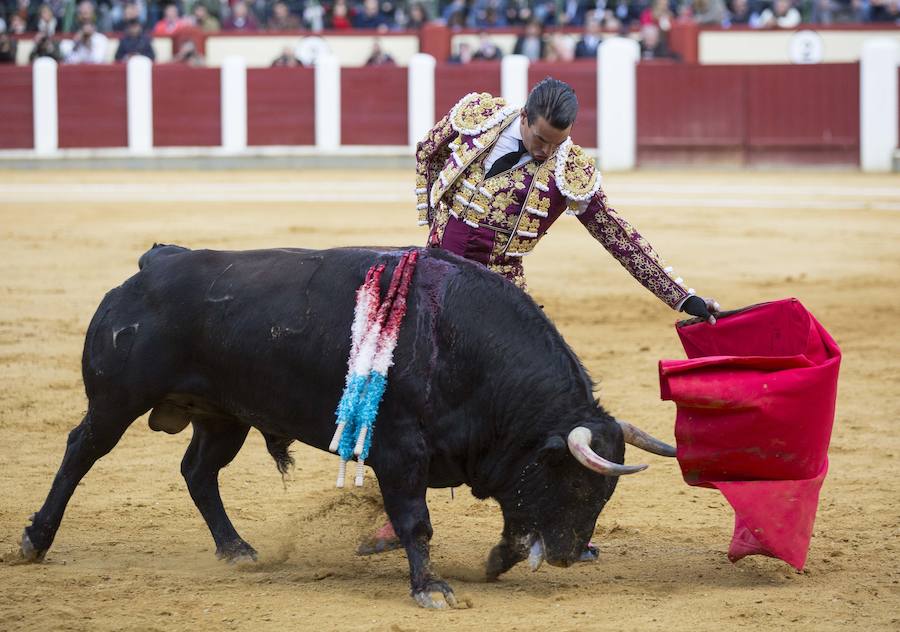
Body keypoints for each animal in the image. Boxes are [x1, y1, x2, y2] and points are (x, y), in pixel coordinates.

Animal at [19, 246, 676, 608]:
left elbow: (510, 529)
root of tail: (154, 262)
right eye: (577, 482)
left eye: (604, 491)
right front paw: (431, 590)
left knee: (198, 472)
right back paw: (35, 541)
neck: (464, 348)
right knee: (80, 453)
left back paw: (237, 551)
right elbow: (416, 521)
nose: (568, 556)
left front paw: (491, 562)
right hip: (116, 400)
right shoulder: (399, 452)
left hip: (223, 415)